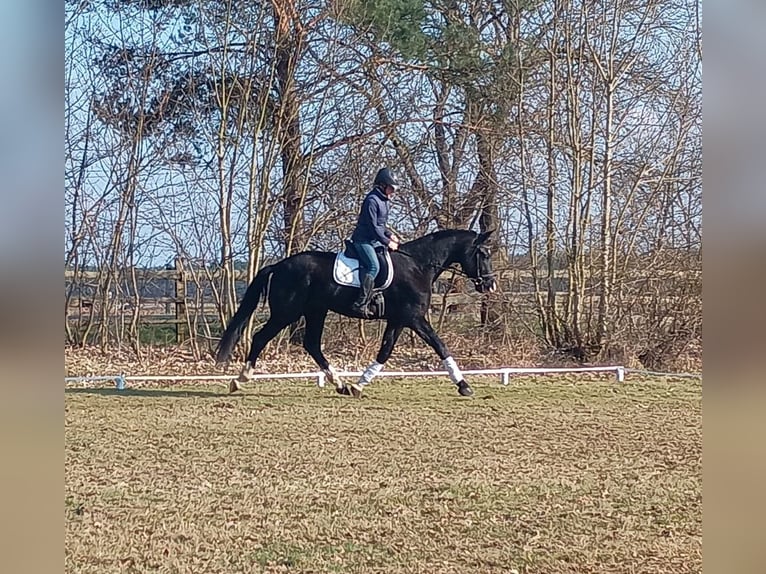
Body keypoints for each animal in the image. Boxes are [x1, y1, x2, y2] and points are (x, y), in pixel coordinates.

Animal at [214, 228, 497, 398]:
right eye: (483, 253)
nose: (490, 285)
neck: (418, 266)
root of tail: (279, 265)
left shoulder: (398, 320)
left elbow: (384, 352)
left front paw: (358, 384)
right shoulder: (414, 318)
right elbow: (440, 346)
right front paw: (464, 385)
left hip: (316, 311)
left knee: (312, 344)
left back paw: (339, 384)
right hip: (287, 313)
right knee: (261, 338)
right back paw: (240, 379)